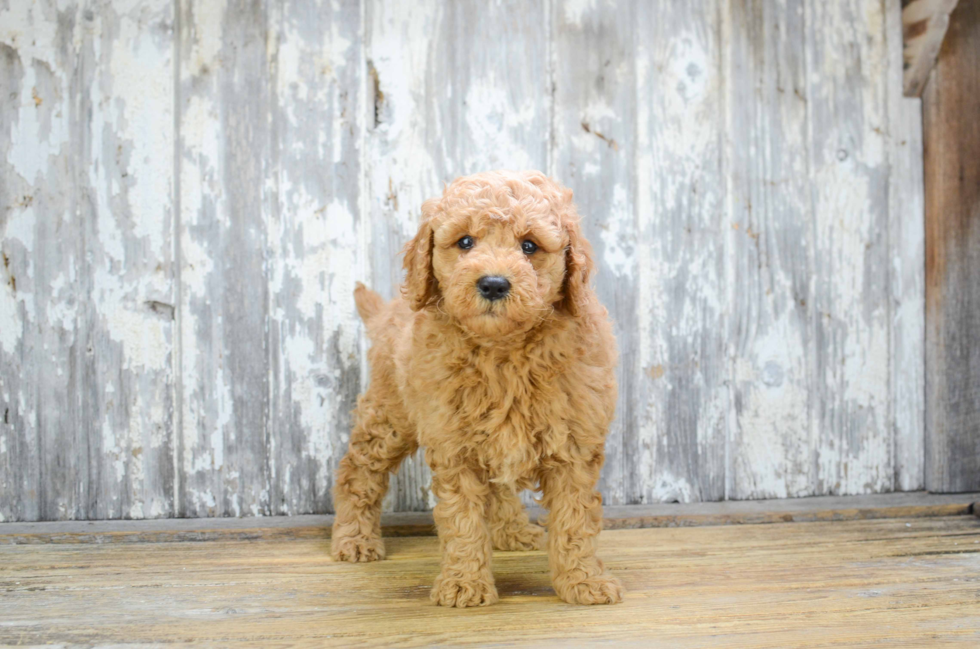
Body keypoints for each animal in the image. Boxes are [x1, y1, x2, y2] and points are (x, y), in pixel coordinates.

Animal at [330, 170, 620, 604]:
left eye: (529, 245)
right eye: (465, 242)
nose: (494, 284)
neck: (503, 350)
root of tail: (387, 312)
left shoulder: (574, 444)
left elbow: (575, 520)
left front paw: (583, 581)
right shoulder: (454, 446)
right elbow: (462, 520)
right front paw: (464, 584)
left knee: (498, 487)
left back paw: (512, 533)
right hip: (389, 415)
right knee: (358, 470)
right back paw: (354, 540)